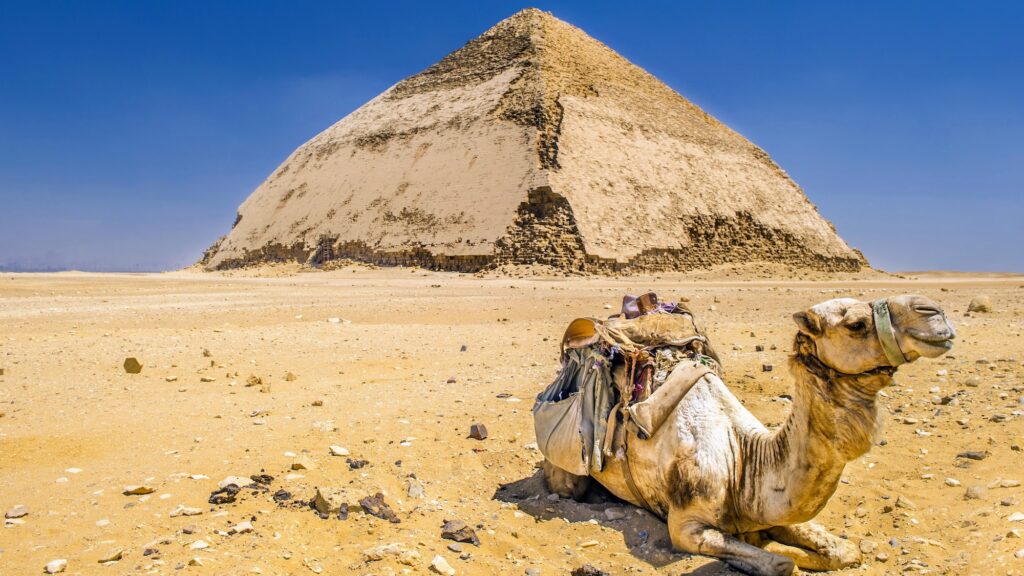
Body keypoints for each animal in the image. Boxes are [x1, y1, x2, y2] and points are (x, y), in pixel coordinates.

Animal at [543, 295, 955, 575]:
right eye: (855, 324)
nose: (934, 312)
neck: (743, 460)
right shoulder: (685, 527)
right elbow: (780, 564)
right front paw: (771, 547)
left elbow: (844, 552)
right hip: (567, 472)